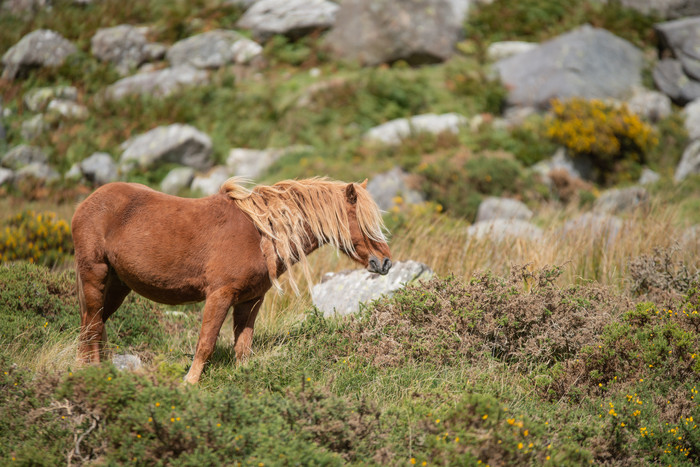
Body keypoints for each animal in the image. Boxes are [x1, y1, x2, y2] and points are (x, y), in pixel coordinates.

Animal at [72, 177, 394, 382]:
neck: (261, 235)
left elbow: (243, 347)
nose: (386, 262)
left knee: (93, 325)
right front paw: (190, 383)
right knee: (91, 326)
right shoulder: (220, 296)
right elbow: (206, 343)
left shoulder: (250, 301)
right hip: (94, 276)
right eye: (362, 222)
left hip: (117, 286)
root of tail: (87, 203)